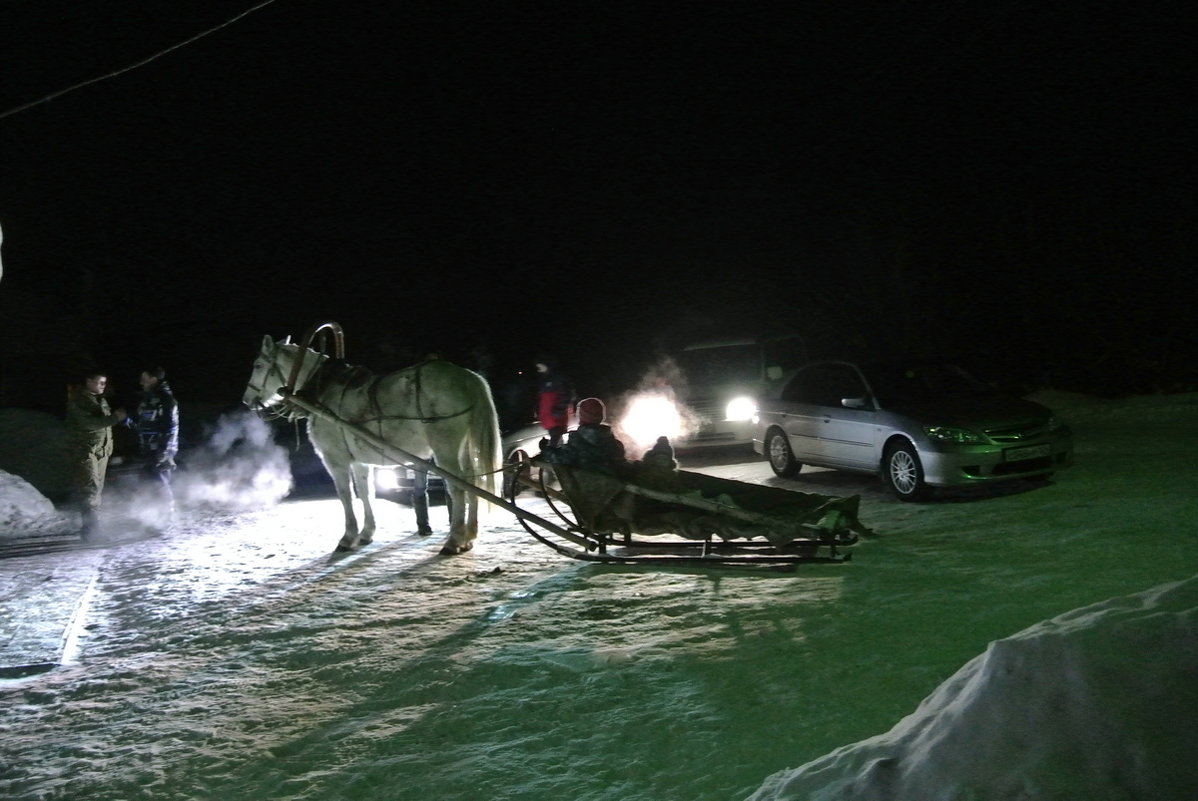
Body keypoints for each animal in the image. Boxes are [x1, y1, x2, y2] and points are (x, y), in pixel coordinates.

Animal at [240, 335, 503, 553]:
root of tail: (467, 377)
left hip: (445, 448)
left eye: (258, 366)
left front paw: (348, 537)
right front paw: (366, 533)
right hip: (465, 448)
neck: (323, 392)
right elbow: (366, 493)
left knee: (457, 488)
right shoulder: (360, 461)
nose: (246, 399)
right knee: (473, 482)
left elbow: (345, 495)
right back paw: (469, 535)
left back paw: (454, 540)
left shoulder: (335, 459)